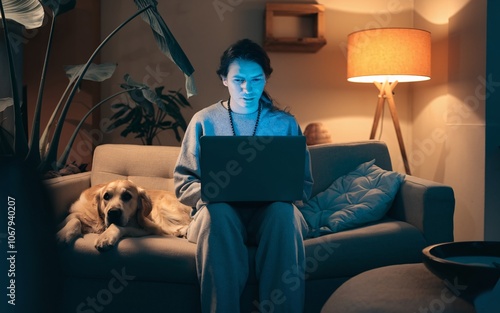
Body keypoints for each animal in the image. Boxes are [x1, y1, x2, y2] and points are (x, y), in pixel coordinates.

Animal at [55, 179, 192, 250]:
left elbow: (117, 226)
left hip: (162, 207)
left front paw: (105, 236)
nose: (113, 213)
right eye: (106, 196)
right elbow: (73, 219)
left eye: (127, 196)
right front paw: (63, 233)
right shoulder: (77, 213)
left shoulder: (149, 227)